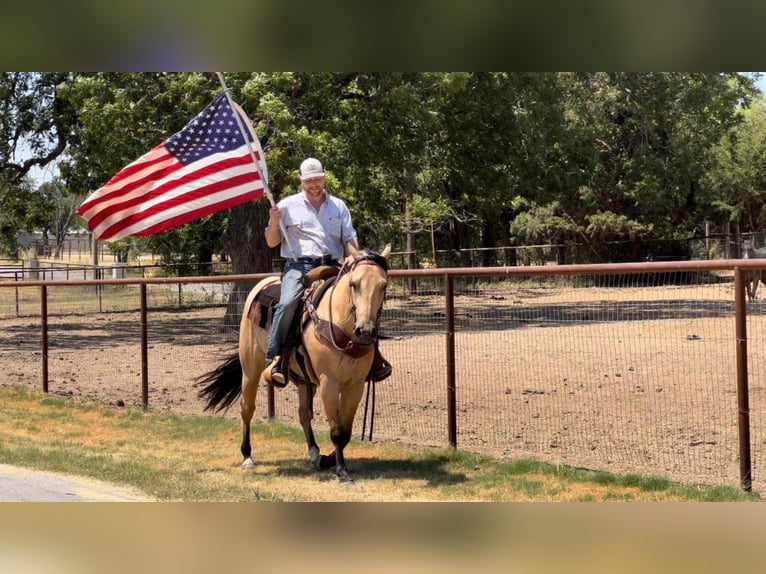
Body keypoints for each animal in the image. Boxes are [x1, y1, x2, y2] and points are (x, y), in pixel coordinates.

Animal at [195, 245, 392, 484]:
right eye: (354, 284)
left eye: (383, 285)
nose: (366, 330)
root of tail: (262, 283)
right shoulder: (329, 383)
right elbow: (336, 431)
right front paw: (342, 471)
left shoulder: (355, 385)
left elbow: (345, 432)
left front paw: (326, 461)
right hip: (251, 368)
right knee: (247, 408)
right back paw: (247, 456)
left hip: (305, 380)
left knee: (303, 413)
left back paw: (314, 453)